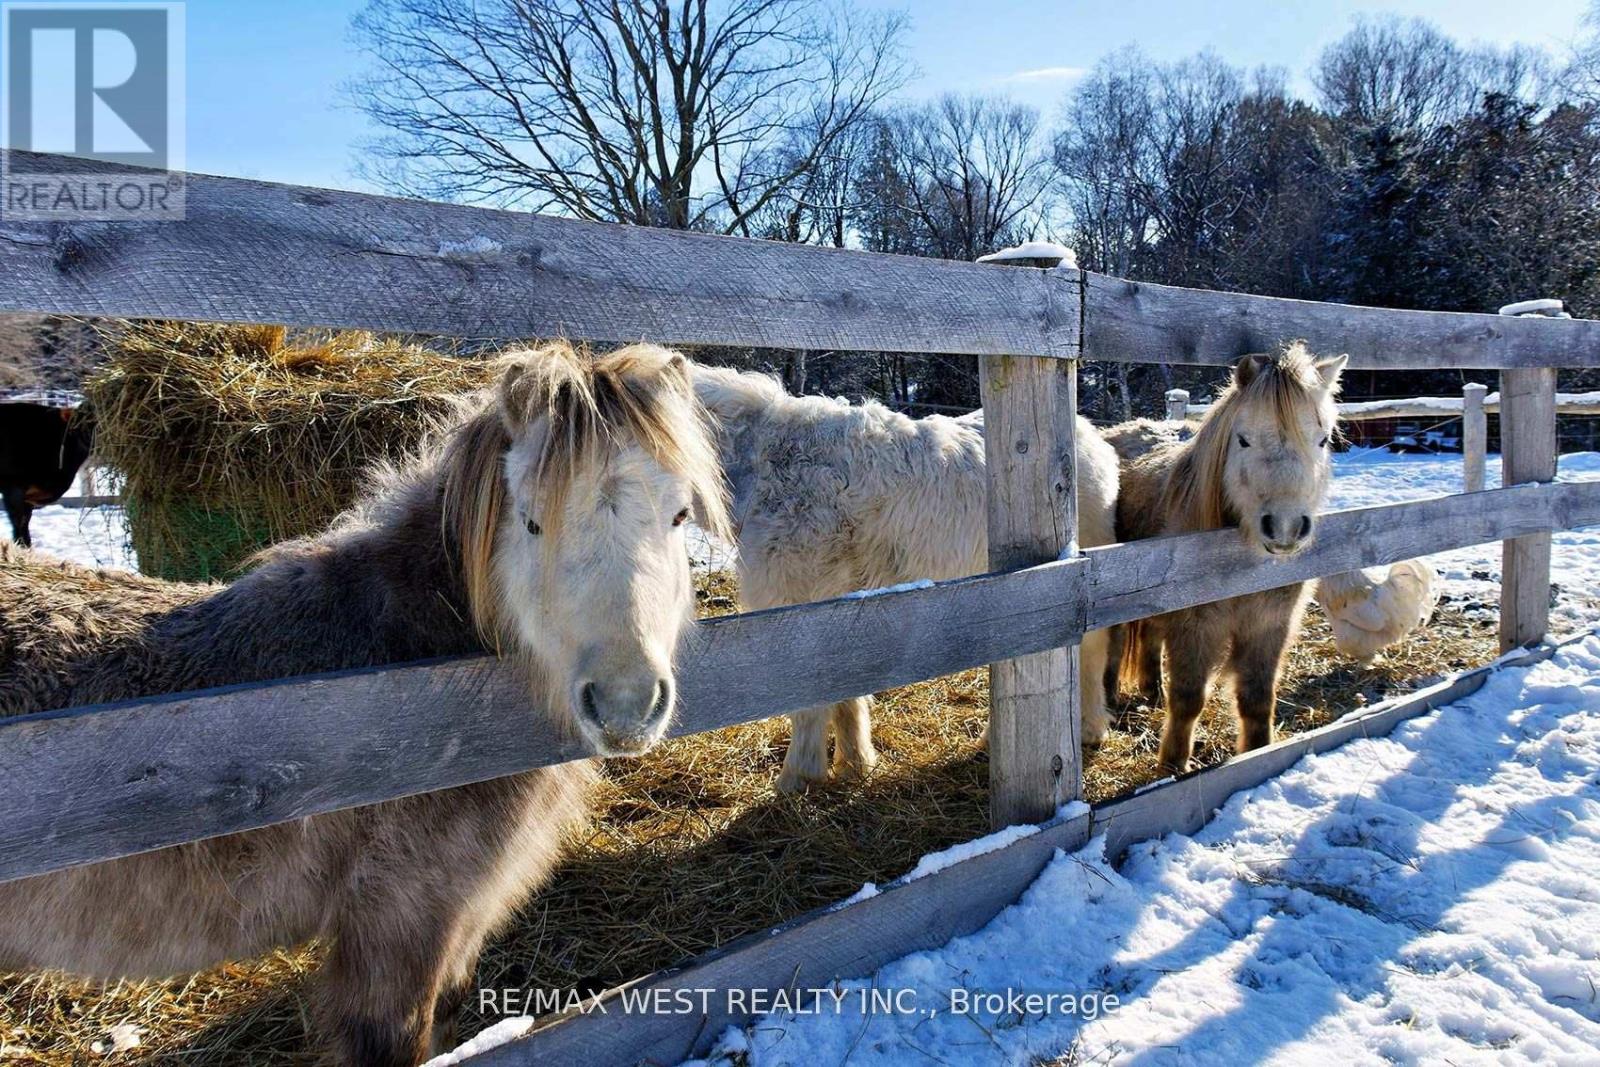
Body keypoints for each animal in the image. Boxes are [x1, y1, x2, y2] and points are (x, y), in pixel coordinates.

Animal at [694, 367, 1120, 793]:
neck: (770, 464)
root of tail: (1092, 439)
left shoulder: (797, 608)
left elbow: (810, 700)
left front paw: (797, 778)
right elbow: (845, 692)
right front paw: (855, 765)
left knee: (1091, 647)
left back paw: (1080, 729)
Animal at [1113, 350, 1350, 777]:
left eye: (1322, 440)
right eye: (1243, 439)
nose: (1286, 527)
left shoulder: (1270, 624)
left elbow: (1257, 700)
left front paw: (1257, 753)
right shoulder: (1194, 626)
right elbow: (1188, 698)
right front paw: (1172, 767)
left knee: (1151, 639)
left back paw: (1152, 692)